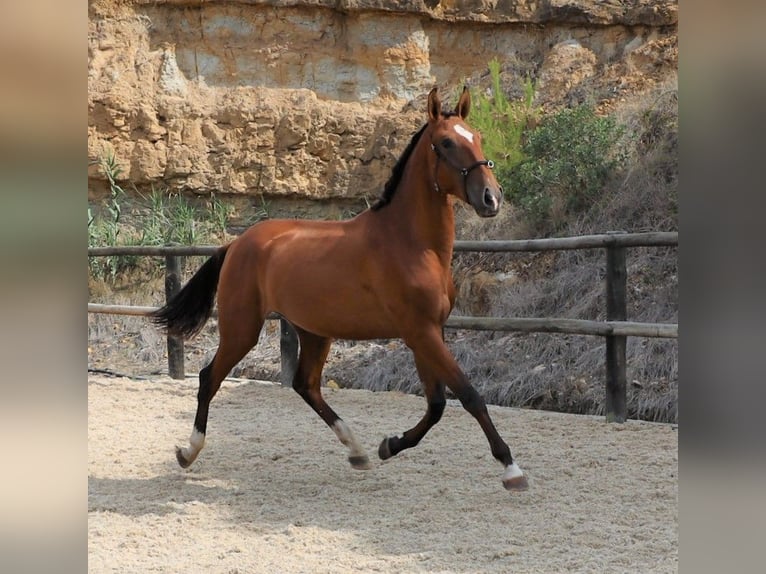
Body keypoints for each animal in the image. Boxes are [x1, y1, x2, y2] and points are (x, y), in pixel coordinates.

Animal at [153, 88, 532, 492]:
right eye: (446, 142)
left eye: (476, 136)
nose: (492, 198)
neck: (411, 245)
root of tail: (237, 243)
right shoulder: (421, 332)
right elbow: (468, 394)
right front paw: (511, 468)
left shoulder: (429, 332)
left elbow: (436, 404)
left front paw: (389, 445)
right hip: (242, 328)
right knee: (210, 378)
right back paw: (187, 452)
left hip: (313, 331)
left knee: (306, 385)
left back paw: (357, 450)